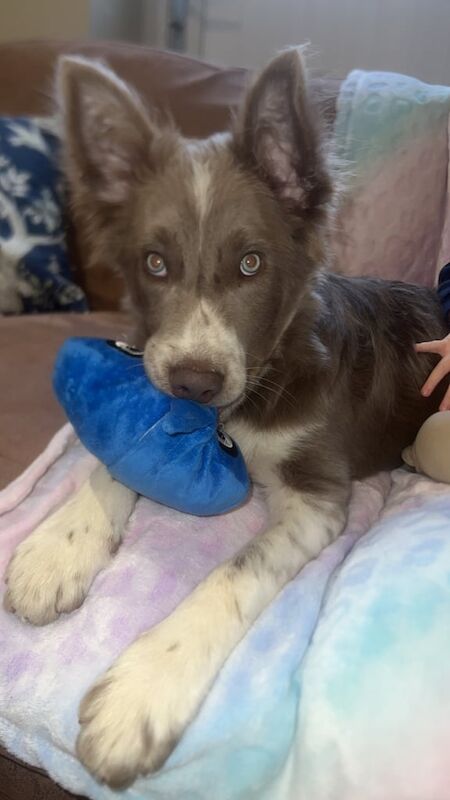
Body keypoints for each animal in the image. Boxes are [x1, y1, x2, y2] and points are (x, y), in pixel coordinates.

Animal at [2, 48, 446, 788]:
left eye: (251, 263)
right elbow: (123, 451)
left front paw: (142, 688)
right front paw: (59, 545)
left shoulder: (318, 498)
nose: (195, 383)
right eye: (154, 263)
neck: (261, 384)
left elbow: (235, 570)